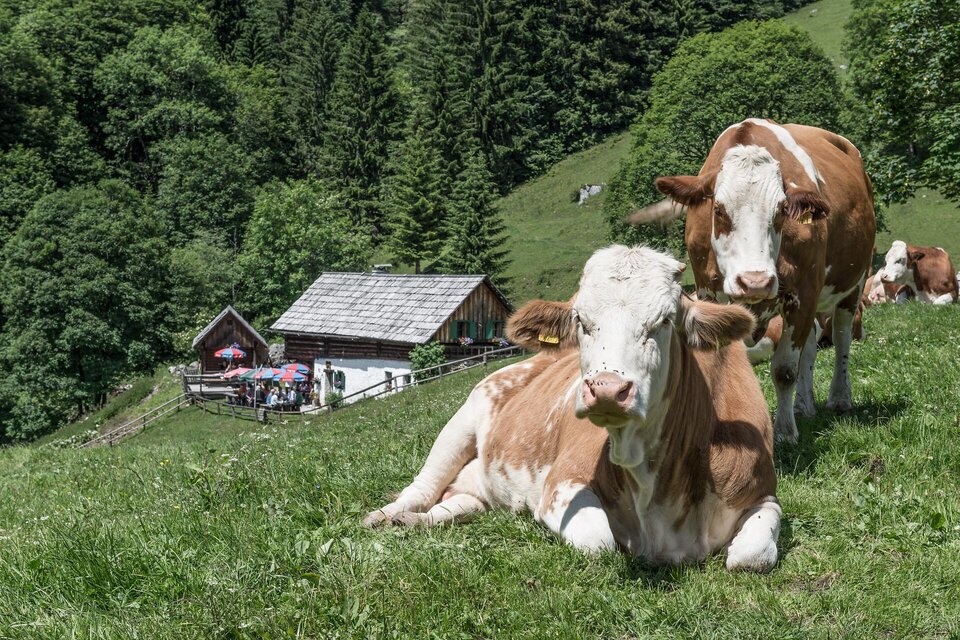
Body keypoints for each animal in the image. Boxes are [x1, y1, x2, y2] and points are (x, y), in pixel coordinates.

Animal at [364, 245, 781, 572]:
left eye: (664, 321)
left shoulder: (764, 494)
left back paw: (411, 522)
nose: (608, 389)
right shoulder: (561, 483)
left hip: (477, 486)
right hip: (462, 419)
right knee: (421, 487)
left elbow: (750, 556)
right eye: (581, 320)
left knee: (456, 504)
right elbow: (601, 544)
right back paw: (385, 517)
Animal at [630, 119, 876, 443]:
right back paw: (804, 405)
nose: (755, 282)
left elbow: (785, 369)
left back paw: (839, 398)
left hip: (855, 282)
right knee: (811, 343)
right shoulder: (707, 293)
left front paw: (784, 432)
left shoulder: (803, 293)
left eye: (782, 211)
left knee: (842, 336)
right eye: (718, 210)